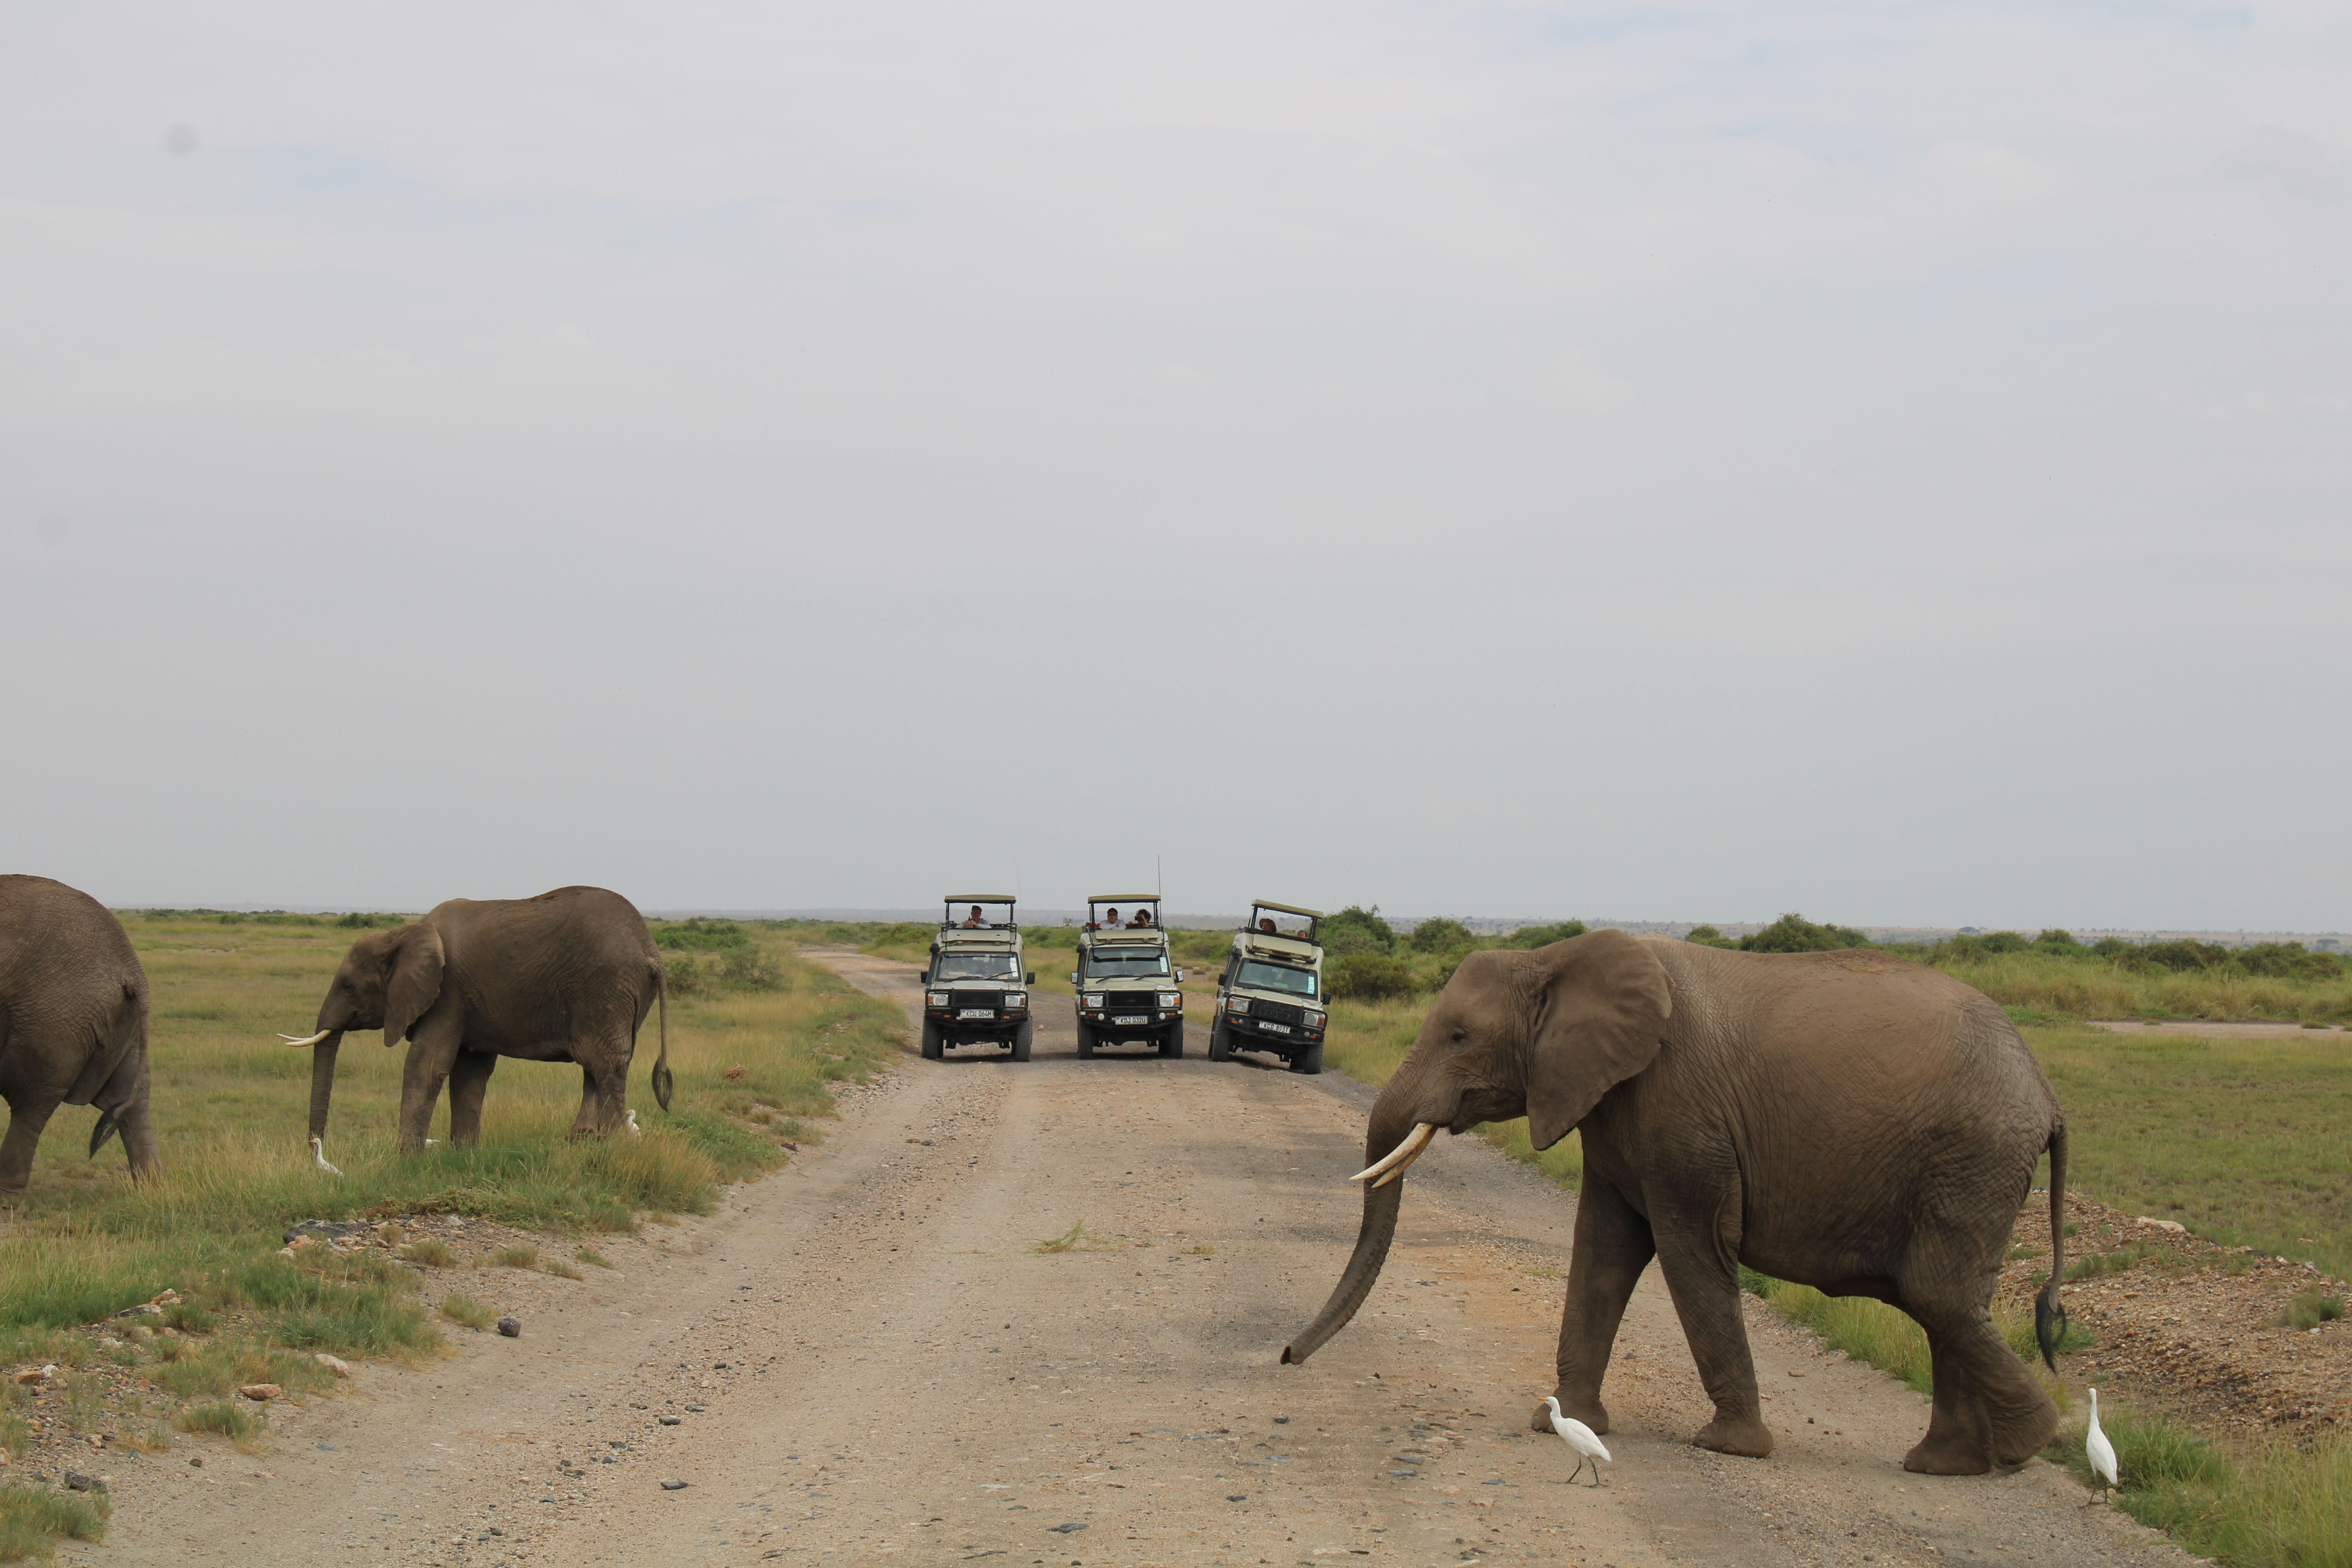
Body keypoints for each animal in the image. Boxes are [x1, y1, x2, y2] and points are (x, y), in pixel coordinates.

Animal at [0, 875, 160, 1193]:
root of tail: (131, 968)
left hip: (53, 1018)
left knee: (31, 1100)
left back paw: (7, 1197)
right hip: (118, 1023)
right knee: (130, 1098)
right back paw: (154, 1189)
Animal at [283, 885, 672, 1159]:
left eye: (349, 987)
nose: (316, 1149)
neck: (404, 934)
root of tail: (651, 954)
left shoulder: (447, 993)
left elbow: (426, 1065)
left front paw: (405, 1162)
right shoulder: (467, 1002)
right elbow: (468, 1072)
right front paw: (464, 1155)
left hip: (604, 989)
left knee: (605, 1065)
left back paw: (612, 1147)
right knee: (596, 1067)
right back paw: (582, 1143)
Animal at [1283, 929, 2070, 1477]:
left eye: (1458, 1036)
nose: (1288, 1357)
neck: (1553, 958)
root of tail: (2047, 1092)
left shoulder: (1683, 1118)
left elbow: (1690, 1253)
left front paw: (1731, 1449)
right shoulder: (1608, 1105)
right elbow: (1603, 1250)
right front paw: (1557, 1423)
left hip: (1971, 1158)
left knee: (1934, 1293)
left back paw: (2023, 1446)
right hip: (1973, 1168)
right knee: (1946, 1301)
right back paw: (1949, 1465)